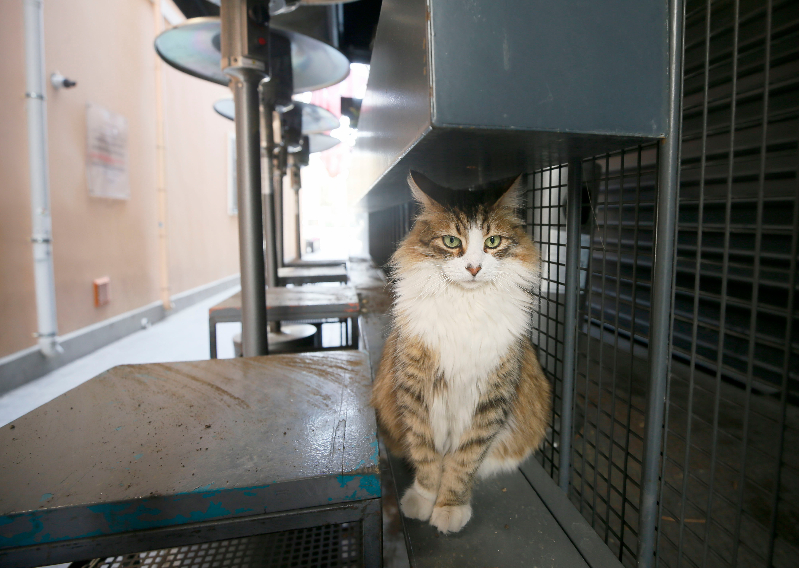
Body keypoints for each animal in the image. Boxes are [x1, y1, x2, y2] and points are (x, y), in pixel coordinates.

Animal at [374, 171, 552, 536]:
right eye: (451, 241)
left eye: (493, 242)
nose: (473, 268)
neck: (465, 306)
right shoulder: (416, 386)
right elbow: (425, 451)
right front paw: (424, 498)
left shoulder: (491, 395)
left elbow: (464, 459)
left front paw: (449, 506)